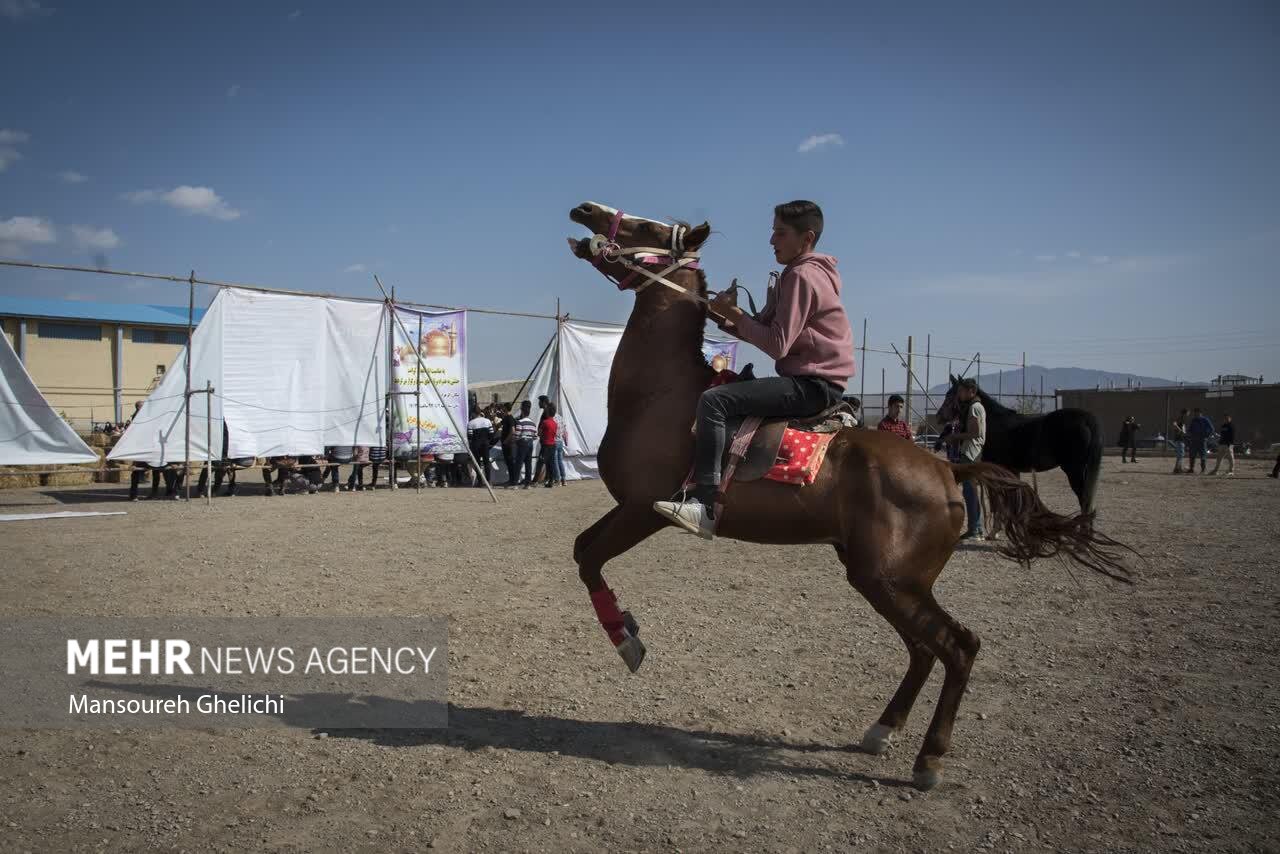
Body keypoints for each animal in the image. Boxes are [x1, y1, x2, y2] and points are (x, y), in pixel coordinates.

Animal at [936, 376, 1105, 517]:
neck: (992, 423)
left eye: (950, 394)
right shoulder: (1012, 470)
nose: (939, 417)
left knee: (1085, 503)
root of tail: (1086, 418)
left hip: (1075, 471)